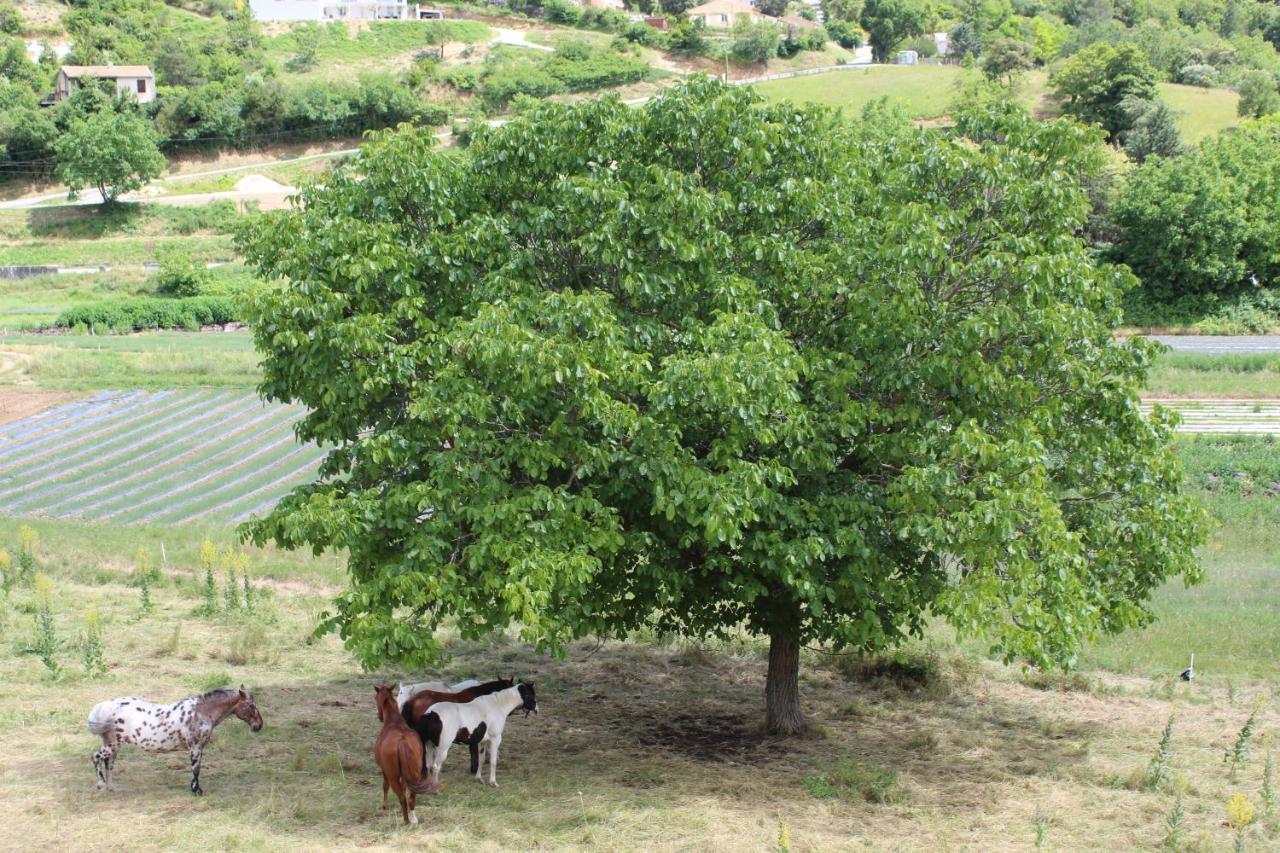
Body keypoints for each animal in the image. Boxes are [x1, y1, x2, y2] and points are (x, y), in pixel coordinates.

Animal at [87, 681, 262, 794]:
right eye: (250, 705)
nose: (258, 725)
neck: (201, 711)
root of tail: (105, 706)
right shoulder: (195, 747)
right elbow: (196, 768)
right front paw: (196, 790)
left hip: (113, 745)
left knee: (108, 763)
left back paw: (111, 787)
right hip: (111, 745)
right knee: (96, 757)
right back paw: (100, 785)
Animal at [373, 681, 442, 819]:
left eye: (375, 698)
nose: (379, 716)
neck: (394, 722)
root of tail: (402, 741)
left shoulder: (384, 770)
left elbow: (385, 786)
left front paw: (385, 805)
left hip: (393, 777)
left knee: (401, 797)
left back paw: (406, 820)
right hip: (415, 774)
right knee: (412, 796)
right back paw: (413, 817)